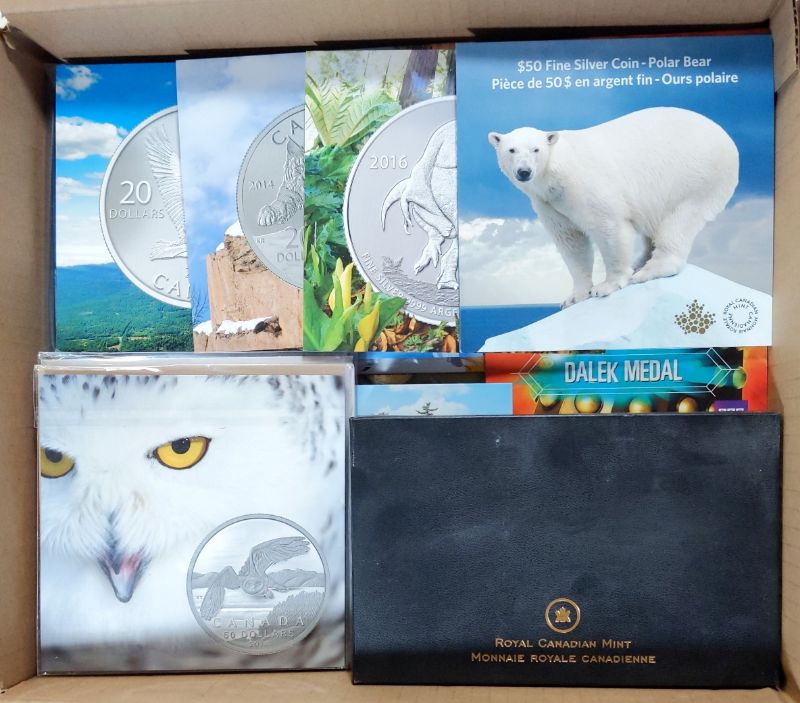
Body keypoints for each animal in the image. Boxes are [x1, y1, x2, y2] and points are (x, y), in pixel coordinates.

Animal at [488, 107, 739, 307]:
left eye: (535, 149)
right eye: (511, 150)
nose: (524, 171)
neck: (555, 175)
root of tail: (727, 138)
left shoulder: (586, 185)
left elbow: (609, 227)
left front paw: (606, 285)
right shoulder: (549, 203)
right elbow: (571, 241)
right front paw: (574, 296)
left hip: (698, 177)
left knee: (680, 220)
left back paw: (649, 270)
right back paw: (640, 262)